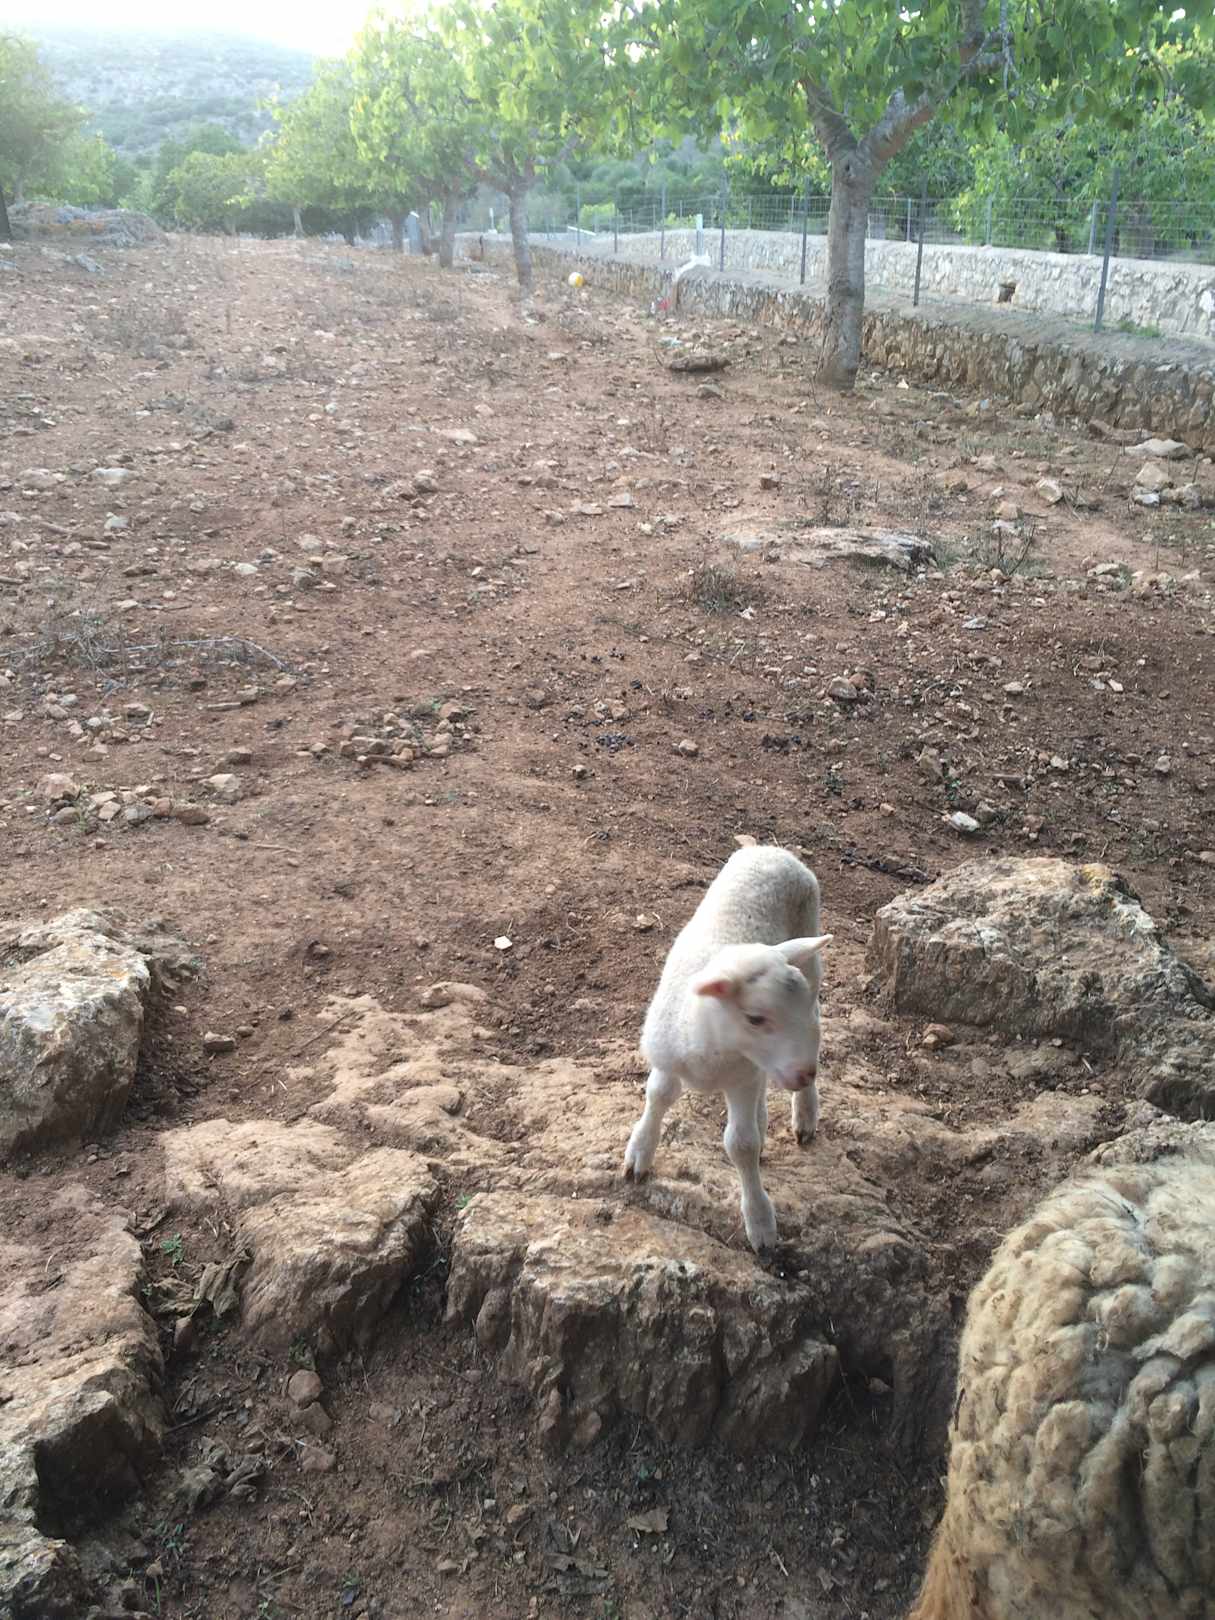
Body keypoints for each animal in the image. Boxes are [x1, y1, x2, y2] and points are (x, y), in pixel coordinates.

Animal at [623, 844, 831, 1253]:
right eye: (755, 1018)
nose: (804, 1074)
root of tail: (772, 849)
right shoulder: (668, 1057)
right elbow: (658, 1097)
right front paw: (640, 1151)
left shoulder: (741, 1079)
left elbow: (742, 1145)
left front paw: (760, 1220)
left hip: (810, 949)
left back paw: (805, 1112)